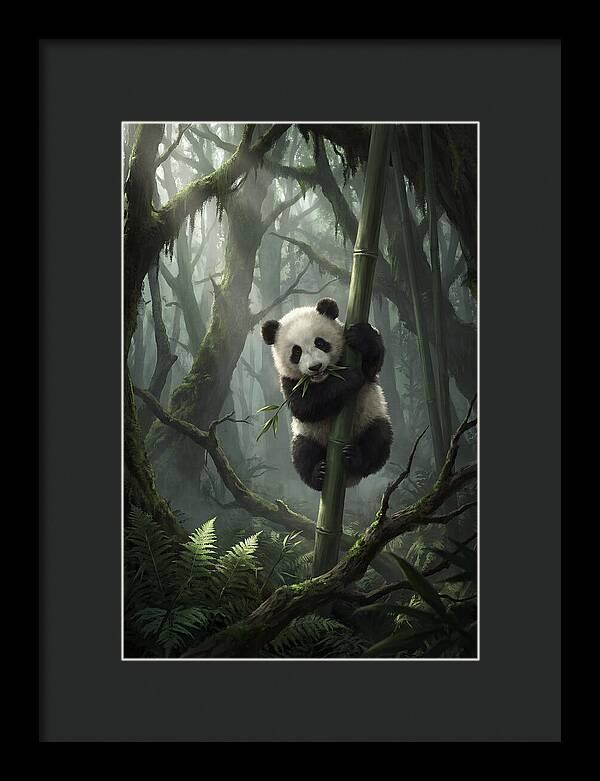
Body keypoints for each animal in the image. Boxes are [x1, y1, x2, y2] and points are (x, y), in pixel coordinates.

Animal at [261, 297, 393, 491]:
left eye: (320, 343)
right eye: (296, 352)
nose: (315, 367)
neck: (324, 378)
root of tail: (349, 480)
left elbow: (372, 365)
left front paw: (361, 336)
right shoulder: (289, 381)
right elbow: (305, 406)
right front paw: (350, 377)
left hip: (370, 417)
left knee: (378, 439)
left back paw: (355, 458)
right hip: (308, 434)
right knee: (302, 452)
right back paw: (318, 474)